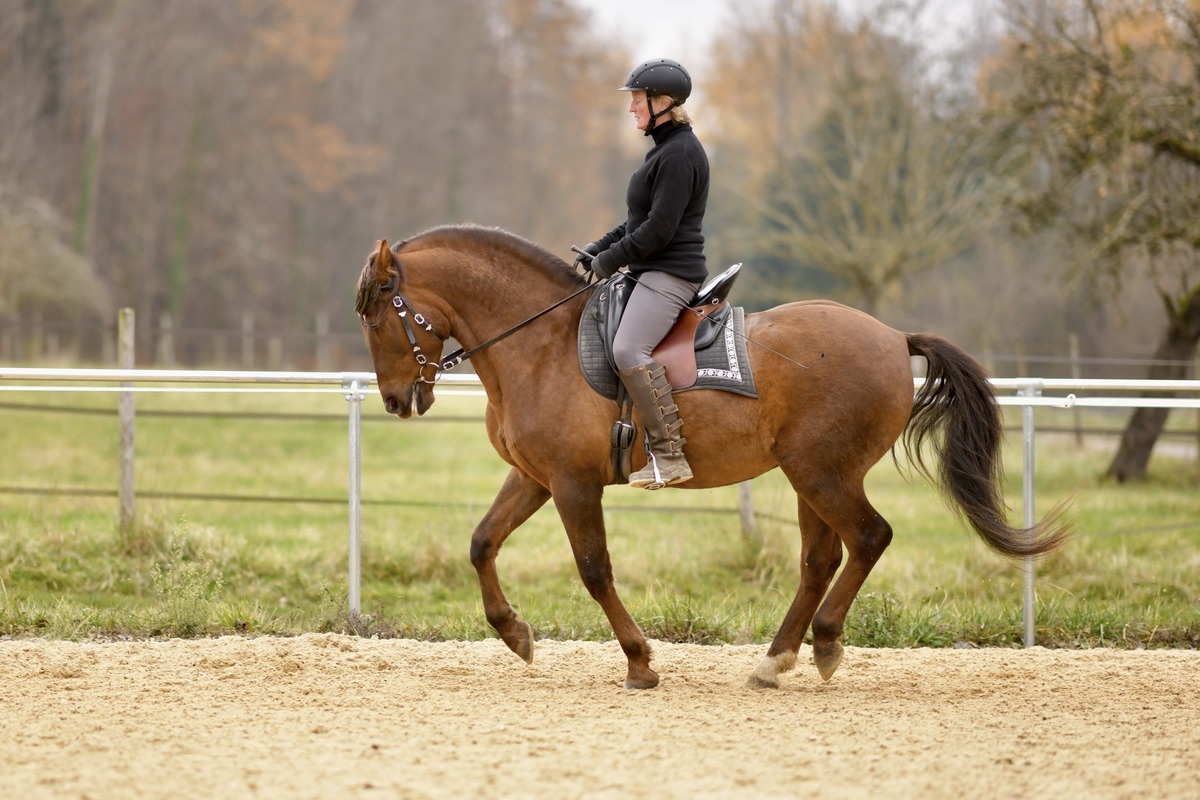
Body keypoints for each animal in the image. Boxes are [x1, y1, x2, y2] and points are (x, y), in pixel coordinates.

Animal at [350, 224, 1065, 690]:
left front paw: (639, 661)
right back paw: (777, 659)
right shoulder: (536, 477)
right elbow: (481, 543)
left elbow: (595, 570)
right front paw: (514, 633)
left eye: (377, 316)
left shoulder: (574, 484)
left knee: (868, 538)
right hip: (811, 478)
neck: (541, 343)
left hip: (823, 474)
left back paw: (824, 643)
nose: (395, 399)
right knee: (821, 560)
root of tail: (893, 337)